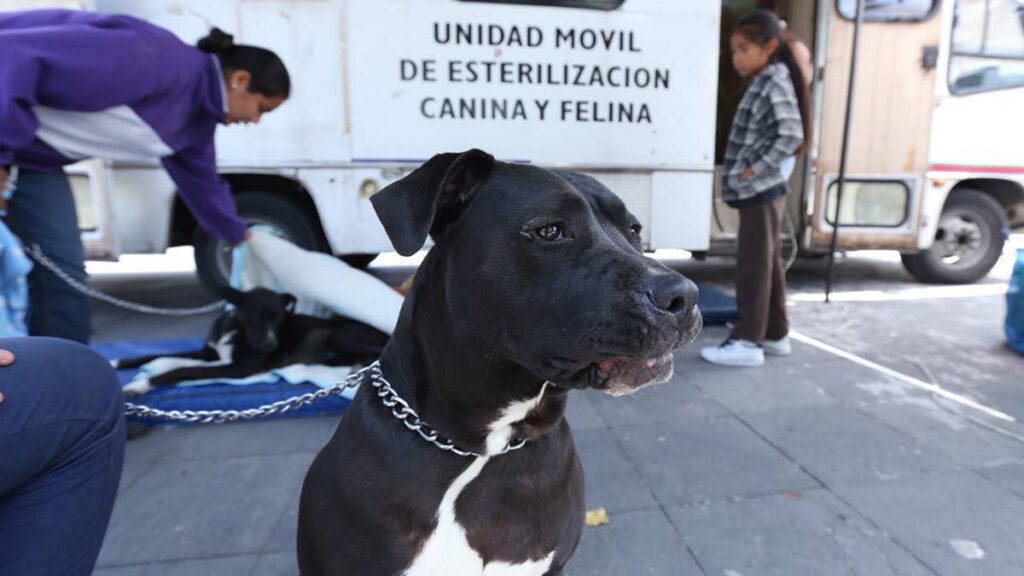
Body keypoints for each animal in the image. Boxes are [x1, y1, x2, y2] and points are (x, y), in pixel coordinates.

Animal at [117, 284, 389, 391]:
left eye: (278, 319)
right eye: (254, 318)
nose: (270, 346)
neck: (235, 330)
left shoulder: (239, 368)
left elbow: (183, 370)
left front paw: (141, 384)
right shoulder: (209, 352)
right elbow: (159, 355)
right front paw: (119, 362)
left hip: (340, 337)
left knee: (378, 353)